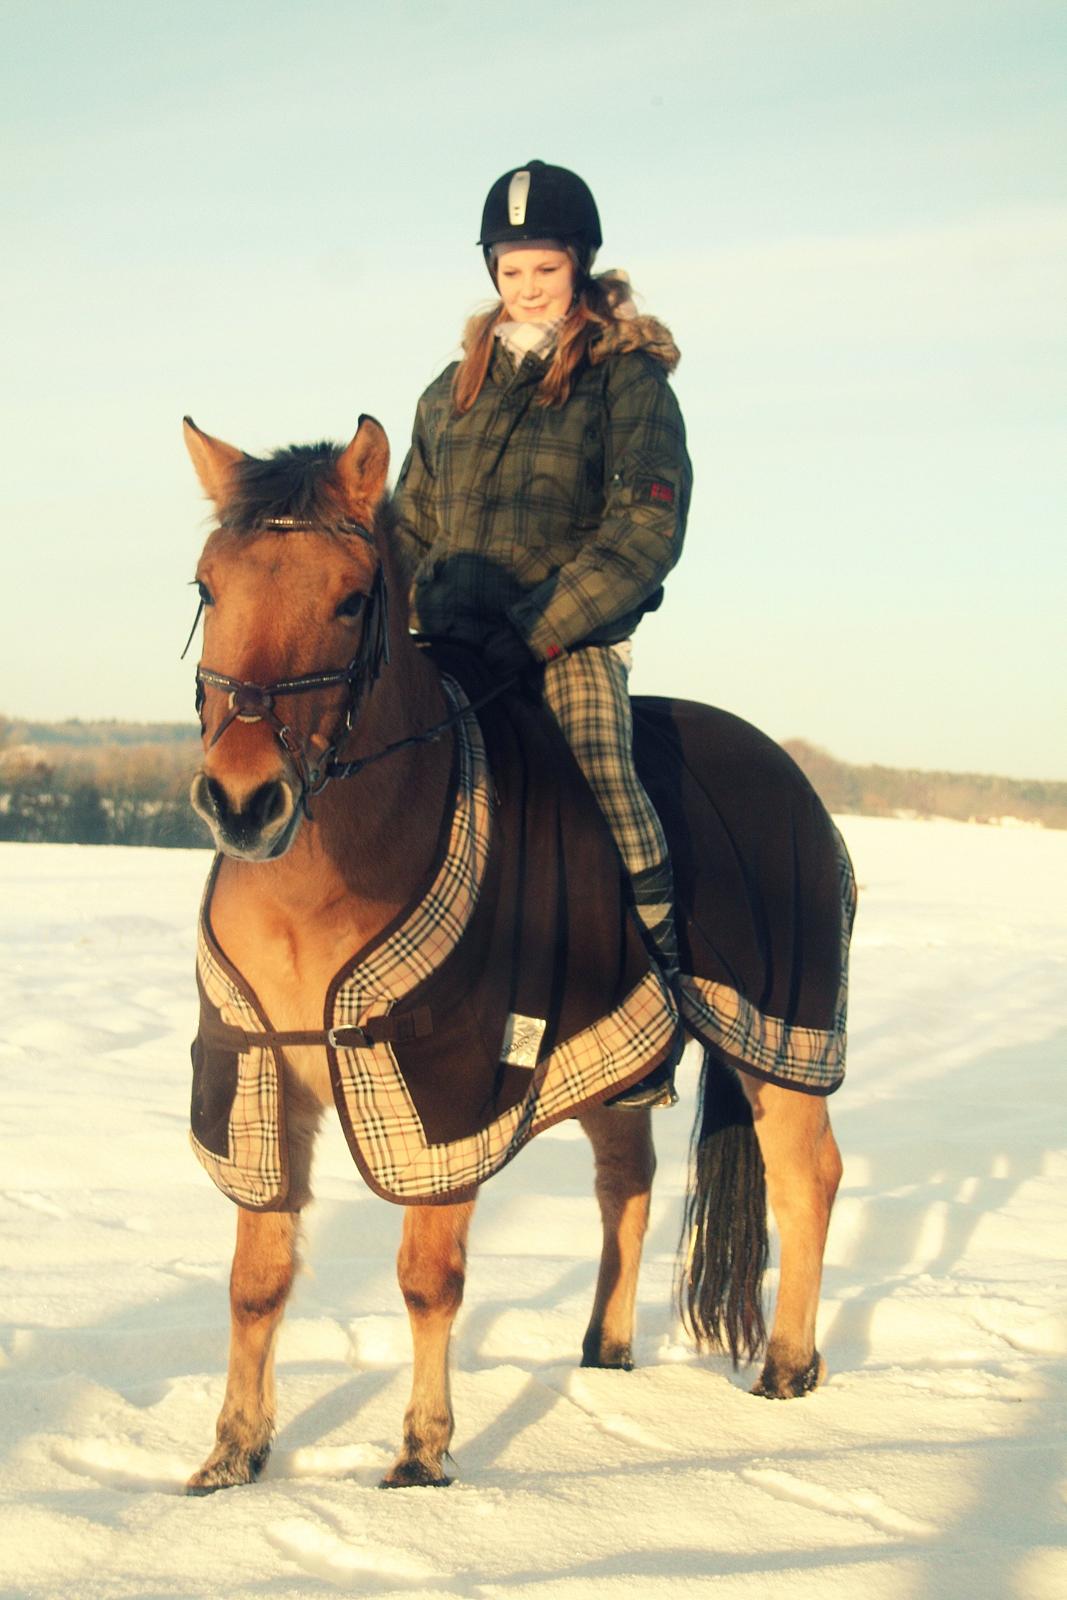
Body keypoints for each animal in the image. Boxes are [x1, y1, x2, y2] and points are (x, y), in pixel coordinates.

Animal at [181, 416, 851, 1497]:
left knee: (805, 1178)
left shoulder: (444, 1096)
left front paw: (421, 1453)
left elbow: (427, 1279)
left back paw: (787, 1370)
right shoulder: (254, 1076)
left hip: (778, 1033)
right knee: (627, 1181)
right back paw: (603, 1355)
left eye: (351, 598)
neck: (318, 887)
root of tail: (786, 770)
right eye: (208, 587)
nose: (244, 800)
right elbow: (257, 1280)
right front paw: (231, 1454)